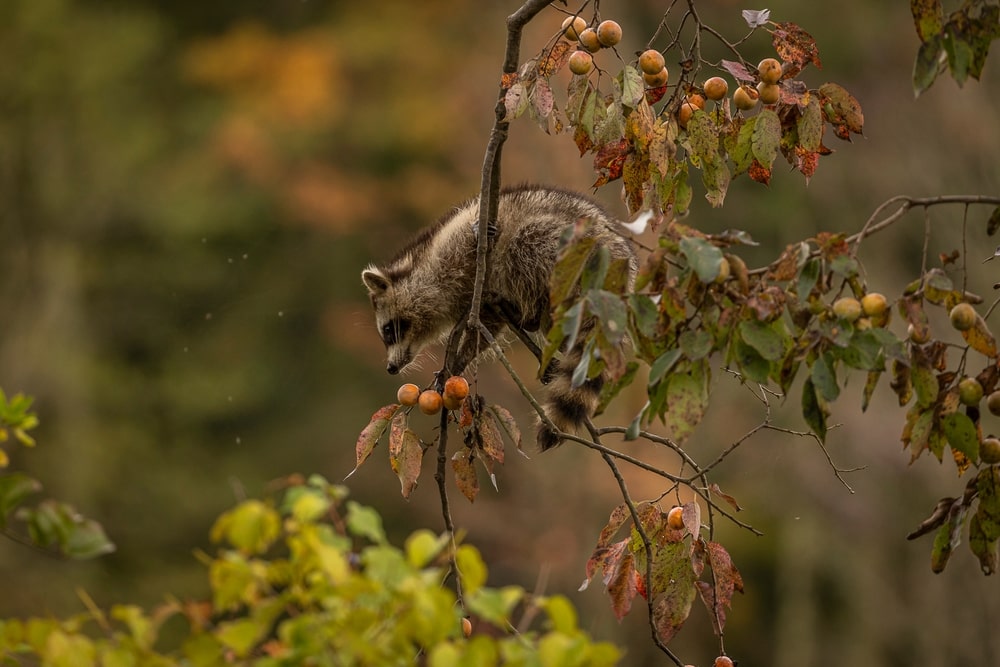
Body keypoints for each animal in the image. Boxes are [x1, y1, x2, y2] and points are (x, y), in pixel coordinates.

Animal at [361, 184, 637, 450]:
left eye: (388, 330)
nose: (391, 368)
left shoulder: (454, 246)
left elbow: (475, 237)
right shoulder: (475, 305)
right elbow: (485, 329)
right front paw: (457, 363)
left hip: (565, 244)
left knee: (525, 242)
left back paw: (528, 315)